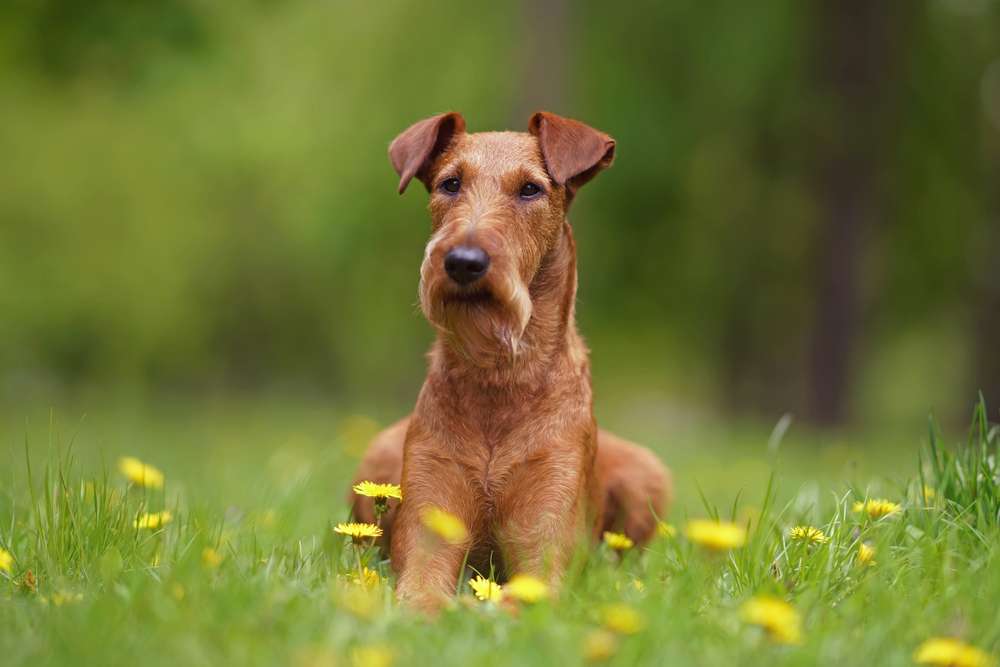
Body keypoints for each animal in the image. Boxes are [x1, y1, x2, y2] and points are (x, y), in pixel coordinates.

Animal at [352, 112, 672, 612]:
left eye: (530, 189)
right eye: (450, 183)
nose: (464, 261)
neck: (498, 379)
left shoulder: (541, 557)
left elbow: (513, 599)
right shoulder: (428, 538)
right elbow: (422, 593)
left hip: (647, 472)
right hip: (378, 452)